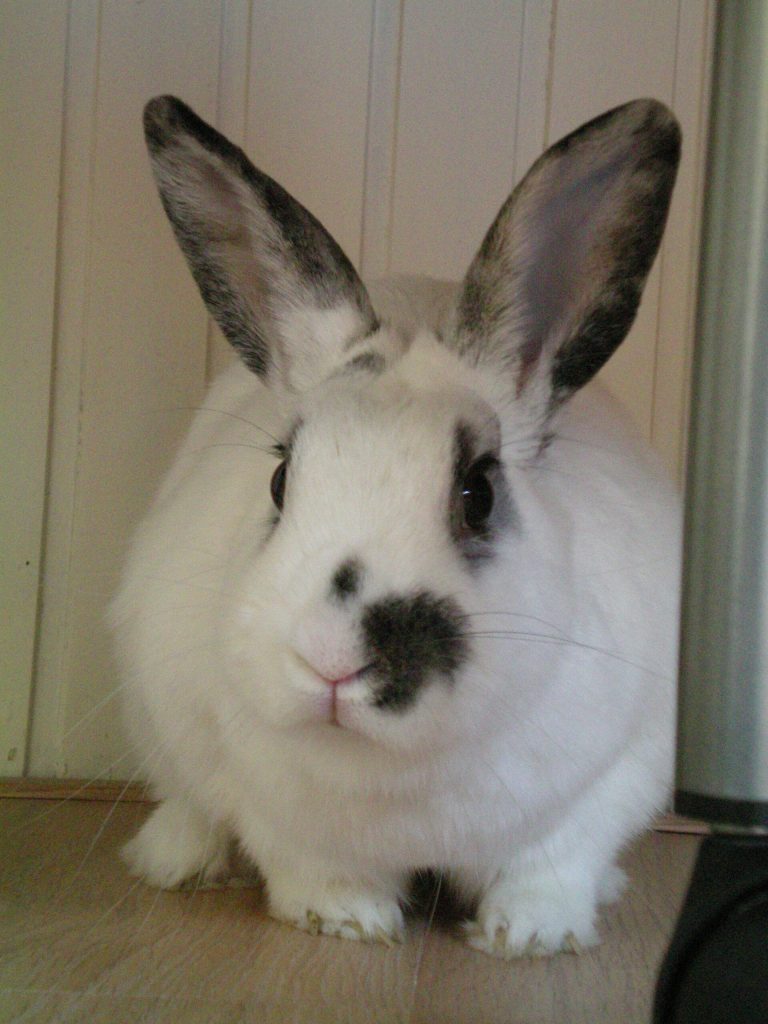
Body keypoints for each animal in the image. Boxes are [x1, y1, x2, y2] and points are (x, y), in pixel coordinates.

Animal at [110, 94, 682, 958]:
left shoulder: (605, 782)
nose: (331, 658)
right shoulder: (274, 811)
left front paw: (528, 936)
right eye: (281, 479)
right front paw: (348, 922)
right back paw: (178, 859)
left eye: (478, 493)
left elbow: (553, 866)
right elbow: (312, 868)